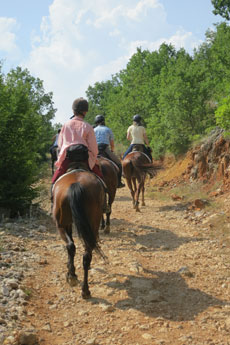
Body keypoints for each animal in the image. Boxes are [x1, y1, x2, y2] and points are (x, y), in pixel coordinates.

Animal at [52, 168, 105, 296]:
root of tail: (75, 184)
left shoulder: (67, 224)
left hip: (61, 225)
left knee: (71, 246)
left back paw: (72, 276)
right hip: (92, 224)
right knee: (86, 253)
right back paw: (85, 289)